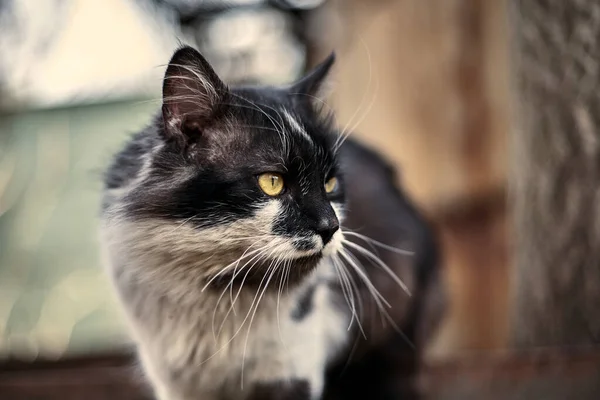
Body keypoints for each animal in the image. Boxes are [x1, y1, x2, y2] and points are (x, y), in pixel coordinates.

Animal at [101, 46, 442, 400]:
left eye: (330, 183)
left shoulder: (294, 371)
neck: (219, 295)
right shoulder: (175, 384)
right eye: (272, 182)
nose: (330, 226)